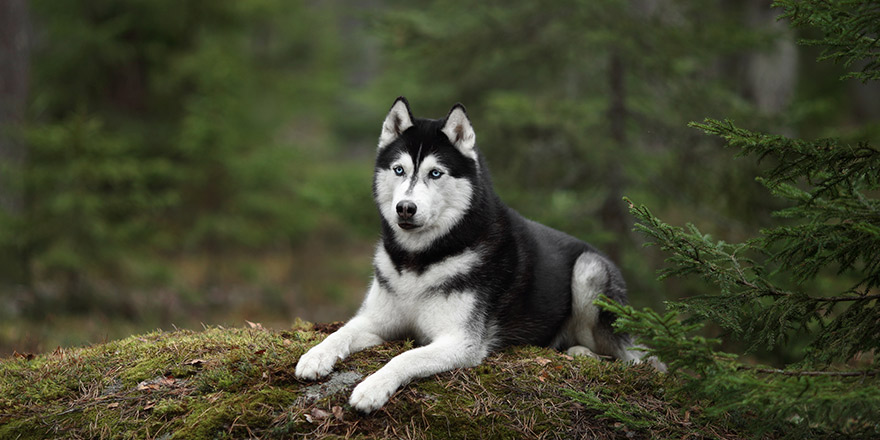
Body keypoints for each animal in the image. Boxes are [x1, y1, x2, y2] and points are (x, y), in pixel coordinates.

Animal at [292, 96, 644, 412]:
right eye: (399, 170)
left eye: (435, 173)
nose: (405, 208)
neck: (419, 260)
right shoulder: (376, 320)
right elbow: (341, 333)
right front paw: (315, 356)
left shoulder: (460, 341)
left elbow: (404, 357)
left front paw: (372, 388)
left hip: (588, 270)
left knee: (632, 359)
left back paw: (583, 352)